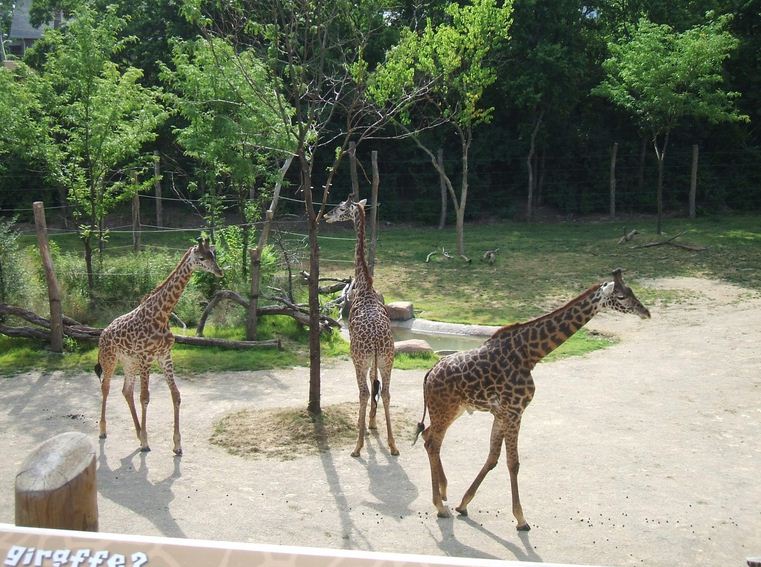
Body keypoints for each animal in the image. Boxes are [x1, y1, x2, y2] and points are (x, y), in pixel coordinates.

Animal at [96, 238, 223, 455]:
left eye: (213, 255)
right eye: (201, 258)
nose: (219, 271)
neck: (162, 314)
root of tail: (102, 334)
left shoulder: (164, 356)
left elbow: (176, 395)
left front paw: (177, 445)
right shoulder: (146, 357)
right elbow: (145, 397)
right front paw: (147, 443)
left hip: (129, 362)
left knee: (126, 391)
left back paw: (138, 434)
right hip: (110, 359)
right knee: (105, 387)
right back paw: (104, 431)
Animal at [324, 197, 399, 457]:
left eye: (339, 208)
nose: (325, 215)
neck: (365, 285)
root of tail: (376, 343)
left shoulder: (360, 359)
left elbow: (366, 391)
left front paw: (364, 427)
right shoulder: (377, 363)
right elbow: (378, 389)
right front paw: (373, 423)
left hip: (359, 359)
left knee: (364, 392)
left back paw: (357, 447)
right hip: (387, 359)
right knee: (385, 392)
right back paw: (393, 445)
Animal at [413, 269, 650, 530]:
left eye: (631, 291)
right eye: (621, 296)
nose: (646, 312)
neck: (530, 354)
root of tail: (429, 374)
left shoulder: (502, 413)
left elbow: (493, 458)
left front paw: (464, 503)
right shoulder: (515, 411)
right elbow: (513, 463)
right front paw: (521, 519)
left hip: (452, 409)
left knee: (428, 437)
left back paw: (444, 492)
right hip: (444, 409)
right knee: (433, 443)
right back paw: (439, 506)